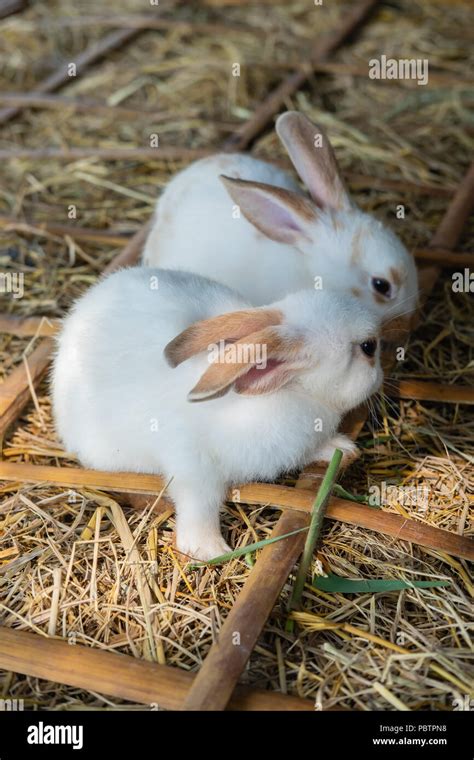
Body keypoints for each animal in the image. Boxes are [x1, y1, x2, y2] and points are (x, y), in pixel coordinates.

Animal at [51, 268, 384, 560]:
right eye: (369, 348)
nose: (382, 374)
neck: (292, 392)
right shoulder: (192, 465)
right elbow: (200, 504)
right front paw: (208, 550)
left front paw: (341, 449)